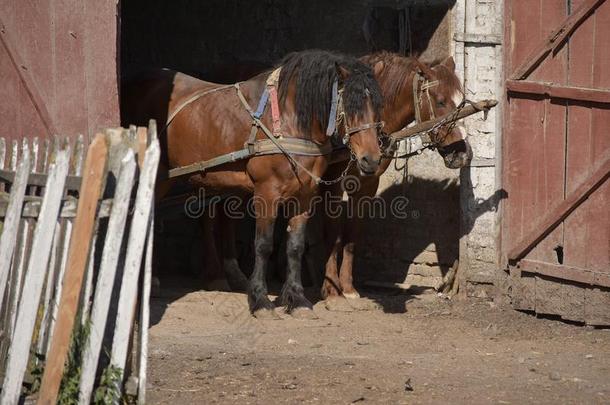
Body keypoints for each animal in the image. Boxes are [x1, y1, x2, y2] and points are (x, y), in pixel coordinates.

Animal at [121, 49, 382, 316]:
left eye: (377, 106)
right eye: (350, 105)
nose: (371, 159)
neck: (286, 121)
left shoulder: (305, 195)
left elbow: (295, 246)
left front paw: (297, 299)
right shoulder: (266, 192)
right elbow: (263, 245)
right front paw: (260, 300)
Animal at [320, 52, 472, 300]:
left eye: (461, 101)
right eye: (440, 101)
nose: (463, 154)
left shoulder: (367, 183)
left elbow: (352, 235)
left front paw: (348, 287)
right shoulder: (332, 185)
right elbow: (332, 234)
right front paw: (331, 289)